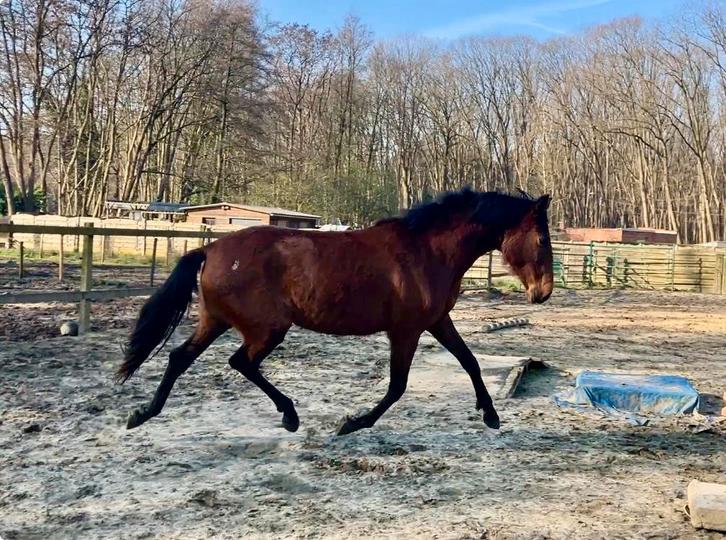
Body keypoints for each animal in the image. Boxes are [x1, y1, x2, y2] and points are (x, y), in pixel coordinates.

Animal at [116, 188, 554, 435]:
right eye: (540, 238)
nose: (543, 293)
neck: (427, 251)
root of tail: (210, 248)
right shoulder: (406, 330)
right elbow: (397, 386)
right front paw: (352, 424)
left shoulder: (436, 322)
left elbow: (470, 362)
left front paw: (491, 415)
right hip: (266, 329)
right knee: (240, 362)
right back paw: (289, 415)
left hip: (217, 321)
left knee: (180, 357)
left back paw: (142, 413)